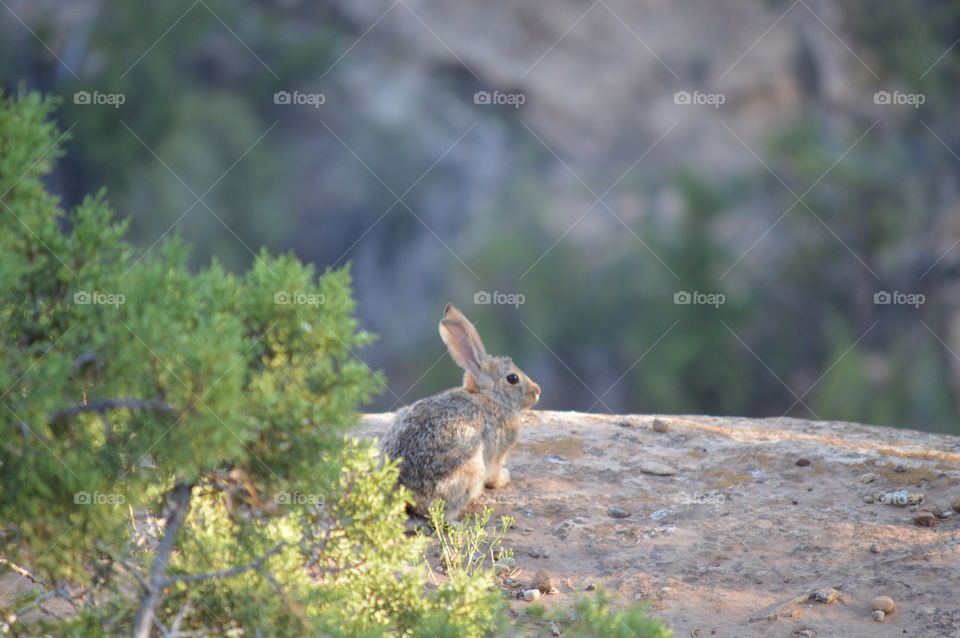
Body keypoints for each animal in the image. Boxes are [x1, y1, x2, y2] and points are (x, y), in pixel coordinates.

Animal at [380, 303, 541, 519]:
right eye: (513, 378)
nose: (537, 391)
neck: (489, 397)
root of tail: (405, 494)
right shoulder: (497, 454)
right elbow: (495, 473)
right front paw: (504, 478)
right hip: (471, 468)